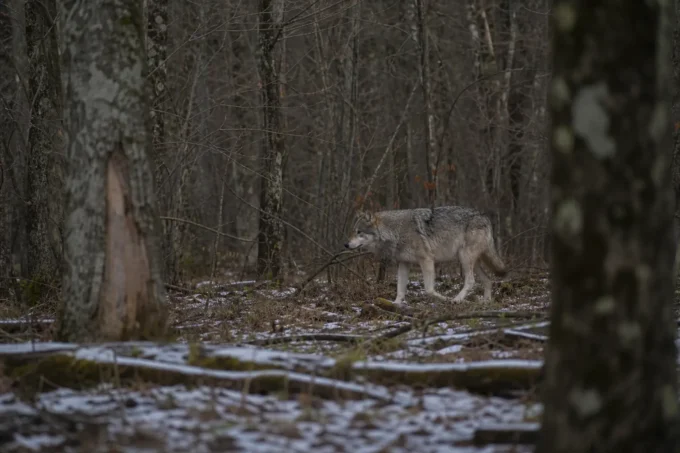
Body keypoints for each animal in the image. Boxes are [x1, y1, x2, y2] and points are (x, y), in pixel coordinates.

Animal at [344, 206, 507, 304]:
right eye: (353, 231)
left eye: (359, 232)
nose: (346, 245)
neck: (395, 232)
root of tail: (484, 217)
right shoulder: (403, 263)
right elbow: (400, 290)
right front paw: (395, 305)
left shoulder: (426, 260)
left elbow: (429, 290)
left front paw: (446, 299)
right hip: (470, 261)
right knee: (488, 280)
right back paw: (486, 302)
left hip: (464, 258)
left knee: (471, 281)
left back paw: (456, 299)